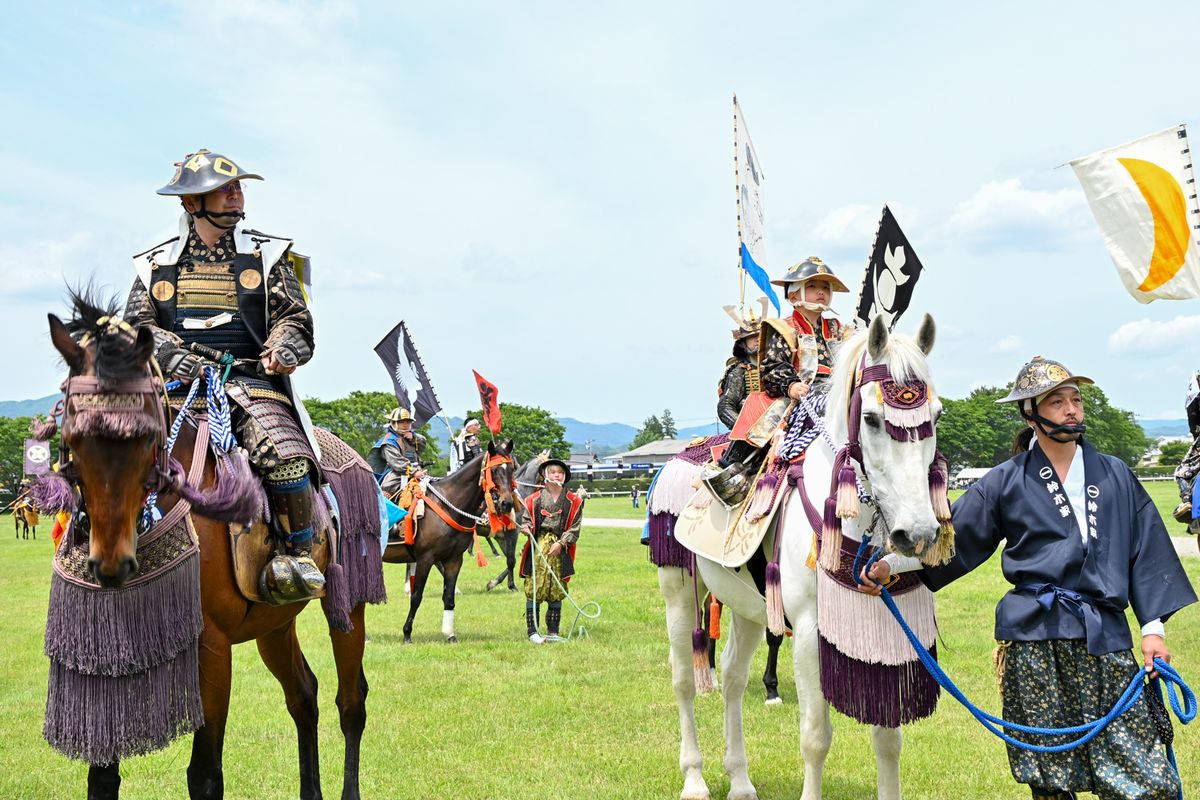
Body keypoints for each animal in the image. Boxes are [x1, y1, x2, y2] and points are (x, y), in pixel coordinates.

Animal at [43, 296, 379, 800]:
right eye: (71, 437)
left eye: (148, 436)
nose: (112, 564)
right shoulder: (104, 646)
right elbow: (101, 777)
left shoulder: (211, 646)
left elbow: (204, 774)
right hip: (274, 622)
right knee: (303, 695)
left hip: (348, 600)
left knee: (351, 702)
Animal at [384, 443, 516, 642]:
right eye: (493, 470)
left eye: (512, 469)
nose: (507, 503)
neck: (448, 505)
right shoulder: (425, 559)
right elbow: (416, 596)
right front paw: (407, 633)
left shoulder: (454, 560)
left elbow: (448, 598)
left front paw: (449, 634)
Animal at [657, 314, 945, 800]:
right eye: (871, 418)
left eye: (937, 414)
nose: (919, 533)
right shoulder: (810, 629)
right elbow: (815, 737)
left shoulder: (890, 628)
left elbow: (888, 739)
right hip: (677, 589)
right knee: (684, 679)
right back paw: (694, 778)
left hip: (747, 605)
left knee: (733, 677)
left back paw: (740, 780)